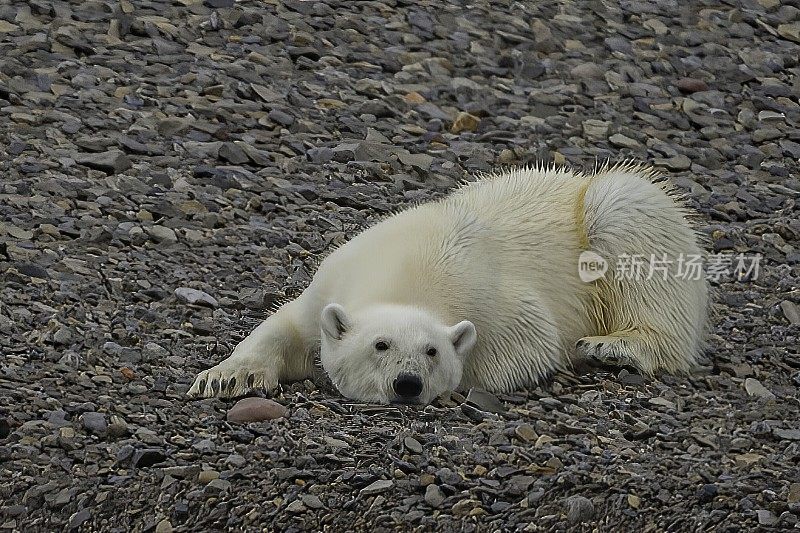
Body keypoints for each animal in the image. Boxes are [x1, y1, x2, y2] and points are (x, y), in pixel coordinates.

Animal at [191, 162, 708, 404]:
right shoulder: (331, 279)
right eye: (379, 345)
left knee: (630, 214)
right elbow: (286, 324)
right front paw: (226, 376)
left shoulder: (506, 307)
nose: (407, 384)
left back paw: (616, 346)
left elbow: (530, 345)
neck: (410, 271)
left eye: (432, 351)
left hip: (605, 214)